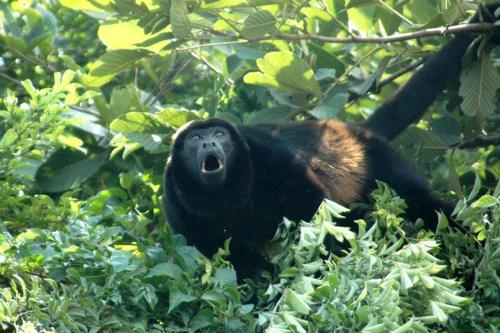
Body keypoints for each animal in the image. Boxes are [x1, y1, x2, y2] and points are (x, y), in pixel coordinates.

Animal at [164, 5, 500, 278]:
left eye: (219, 135)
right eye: (196, 138)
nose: (209, 144)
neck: (223, 195)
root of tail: (359, 132)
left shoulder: (264, 155)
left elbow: (312, 203)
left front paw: (322, 259)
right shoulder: (176, 206)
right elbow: (228, 256)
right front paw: (261, 280)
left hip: (382, 162)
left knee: (420, 201)